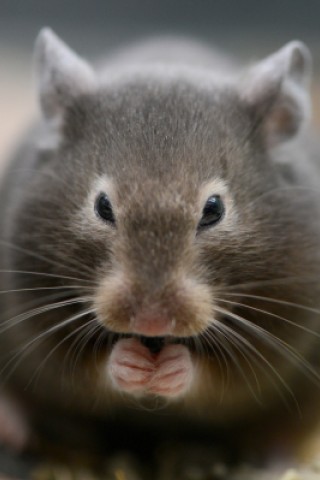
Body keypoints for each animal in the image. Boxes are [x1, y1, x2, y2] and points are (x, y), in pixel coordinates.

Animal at [0, 27, 320, 462]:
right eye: (102, 206)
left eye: (214, 209)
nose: (150, 322)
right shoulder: (35, 313)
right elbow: (85, 366)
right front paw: (135, 365)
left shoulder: (282, 331)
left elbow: (222, 375)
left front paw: (166, 370)